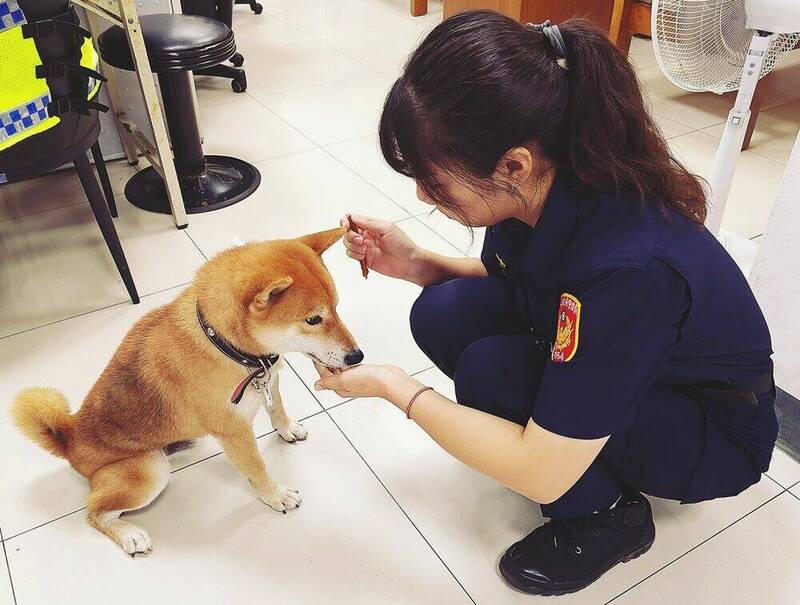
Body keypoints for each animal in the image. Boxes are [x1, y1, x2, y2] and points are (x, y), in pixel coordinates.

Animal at [10, 228, 360, 556]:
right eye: (313, 319)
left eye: (337, 307)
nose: (357, 356)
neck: (226, 345)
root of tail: (69, 437)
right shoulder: (234, 432)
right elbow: (256, 467)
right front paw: (274, 495)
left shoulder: (270, 379)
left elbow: (278, 410)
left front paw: (287, 429)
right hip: (149, 469)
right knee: (94, 513)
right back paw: (129, 534)